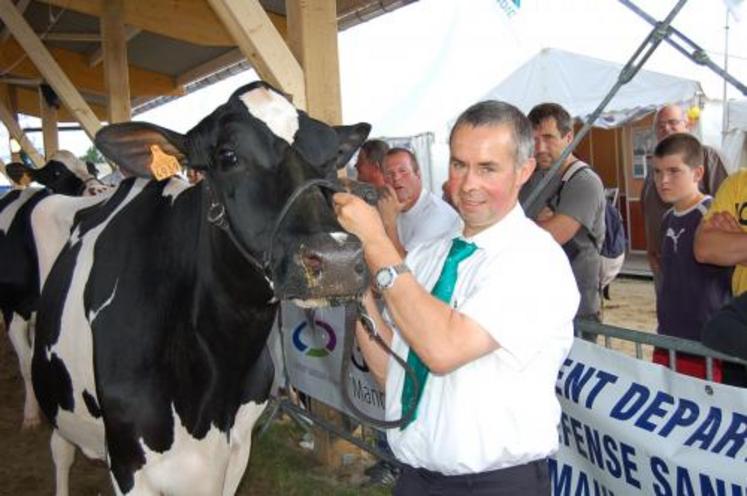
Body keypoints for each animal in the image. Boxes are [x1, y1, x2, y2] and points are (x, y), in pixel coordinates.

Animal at [0, 151, 111, 426]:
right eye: (56, 174)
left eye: (93, 167)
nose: (101, 189)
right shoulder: (11, 310)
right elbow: (25, 365)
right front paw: (30, 415)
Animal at [31, 82, 372, 496]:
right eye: (227, 155)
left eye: (331, 155)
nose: (338, 260)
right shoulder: (129, 464)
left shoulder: (237, 451)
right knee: (60, 451)